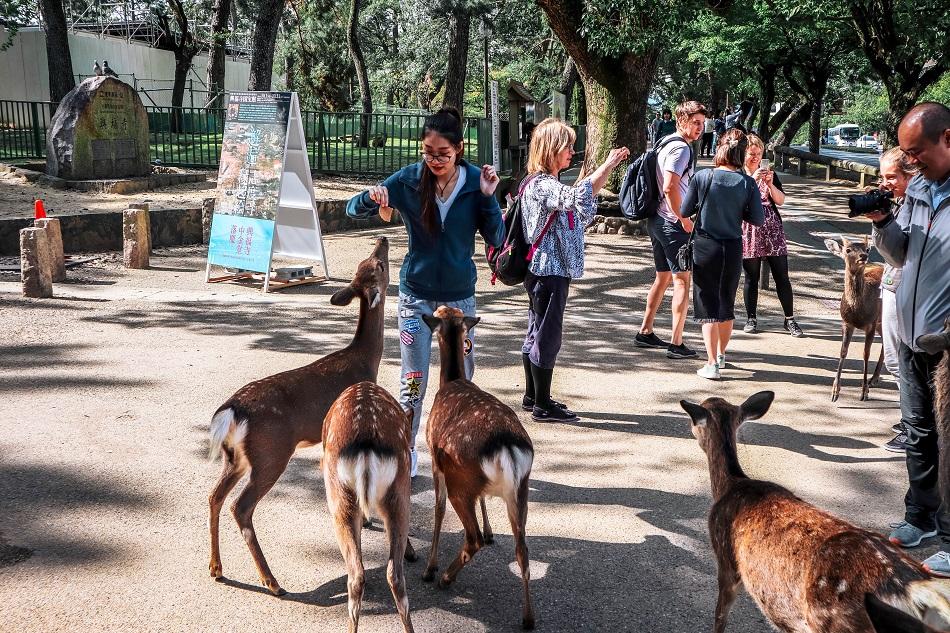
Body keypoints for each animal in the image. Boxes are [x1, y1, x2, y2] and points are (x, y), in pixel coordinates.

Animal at [207, 236, 389, 596]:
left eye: (369, 263)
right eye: (380, 264)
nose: (383, 239)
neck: (365, 359)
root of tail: (232, 411)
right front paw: (367, 519)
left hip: (235, 456)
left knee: (214, 497)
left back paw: (217, 569)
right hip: (272, 452)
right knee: (241, 506)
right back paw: (272, 582)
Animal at [420, 306, 536, 630]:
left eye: (438, 311)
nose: (433, 308)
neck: (451, 382)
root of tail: (507, 447)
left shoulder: (434, 459)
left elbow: (438, 509)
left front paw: (429, 568)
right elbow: (484, 500)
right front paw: (491, 530)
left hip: (460, 481)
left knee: (471, 538)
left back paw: (444, 578)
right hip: (519, 489)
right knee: (522, 550)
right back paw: (528, 618)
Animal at [681, 390, 950, 633]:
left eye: (694, 419)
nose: (689, 431)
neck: (729, 485)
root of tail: (916, 591)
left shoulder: (726, 561)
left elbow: (720, 617)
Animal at [825, 236, 886, 402]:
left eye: (867, 249)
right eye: (848, 250)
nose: (863, 256)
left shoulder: (871, 323)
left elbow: (866, 354)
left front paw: (864, 392)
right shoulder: (846, 322)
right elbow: (843, 351)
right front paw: (835, 392)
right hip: (881, 323)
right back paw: (874, 378)